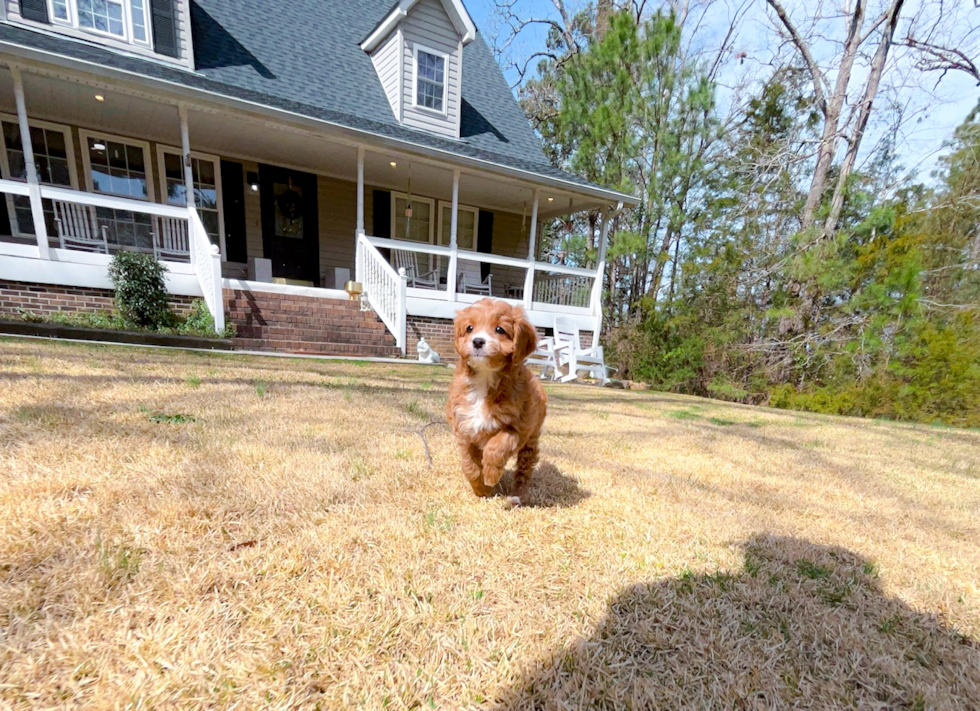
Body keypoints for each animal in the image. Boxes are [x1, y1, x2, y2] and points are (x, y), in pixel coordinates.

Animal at [448, 296, 548, 506]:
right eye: (469, 328)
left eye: (500, 329)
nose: (478, 341)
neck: (484, 378)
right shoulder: (464, 426)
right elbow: (468, 465)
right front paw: (481, 488)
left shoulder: (518, 427)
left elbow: (497, 446)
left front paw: (491, 476)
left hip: (531, 440)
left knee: (524, 470)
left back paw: (517, 496)